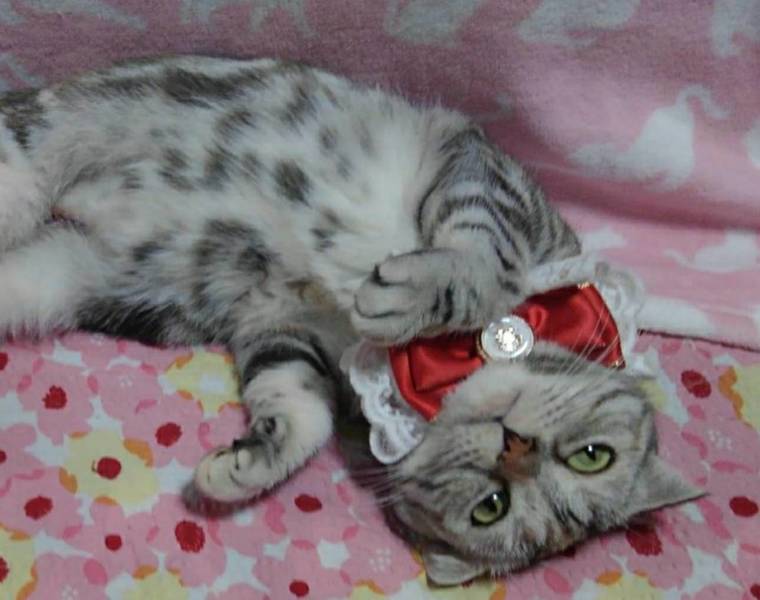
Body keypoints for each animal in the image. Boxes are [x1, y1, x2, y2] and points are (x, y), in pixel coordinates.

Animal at [0, 55, 700, 585]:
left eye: (491, 509)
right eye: (594, 456)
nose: (516, 447)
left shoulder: (279, 320)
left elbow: (299, 405)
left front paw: (247, 465)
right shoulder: (494, 181)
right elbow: (486, 259)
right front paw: (413, 294)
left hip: (54, 279)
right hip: (59, 131)